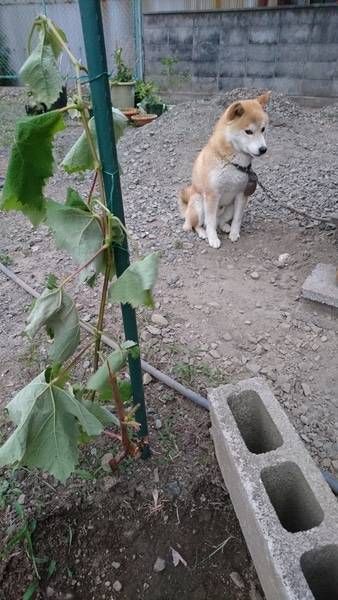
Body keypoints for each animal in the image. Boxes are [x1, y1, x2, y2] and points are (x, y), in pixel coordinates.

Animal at [178, 91, 270, 246]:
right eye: (248, 131)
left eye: (263, 129)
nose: (263, 149)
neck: (234, 163)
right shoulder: (212, 195)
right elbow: (209, 222)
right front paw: (213, 239)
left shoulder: (241, 194)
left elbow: (237, 219)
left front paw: (234, 233)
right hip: (198, 204)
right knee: (196, 225)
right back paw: (203, 233)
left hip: (229, 207)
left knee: (219, 222)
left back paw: (225, 227)